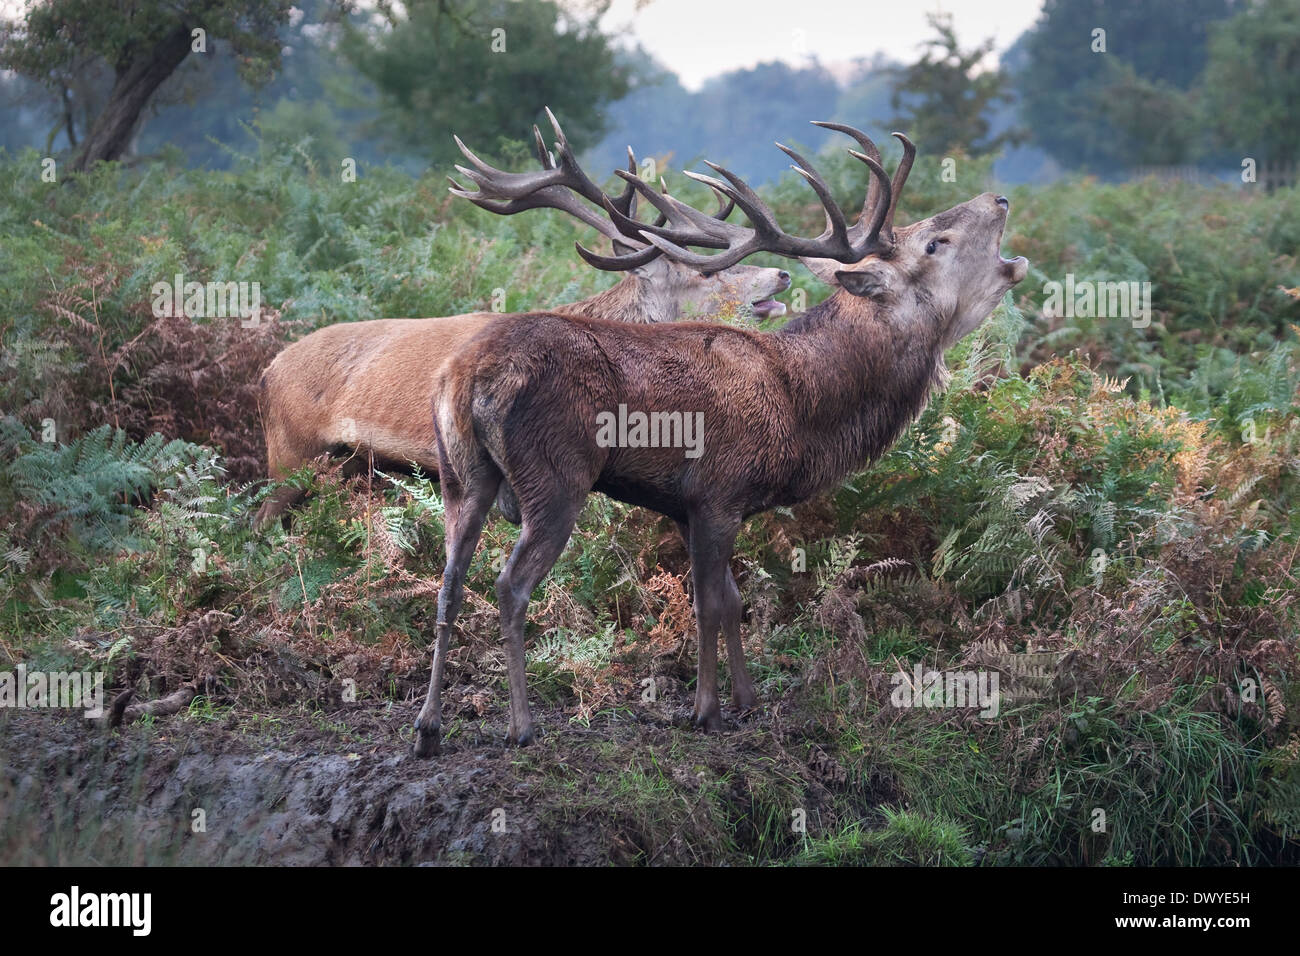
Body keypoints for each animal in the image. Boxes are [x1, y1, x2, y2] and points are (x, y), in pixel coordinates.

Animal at [412, 121, 1029, 757]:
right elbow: (708, 603)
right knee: (509, 585)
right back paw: (521, 724)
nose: (999, 198)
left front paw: (746, 699)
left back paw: (428, 727)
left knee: (449, 583)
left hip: (460, 476)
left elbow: (732, 601)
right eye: (935, 243)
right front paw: (706, 710)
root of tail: (466, 377)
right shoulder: (718, 493)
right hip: (554, 478)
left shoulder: (690, 507)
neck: (801, 407)